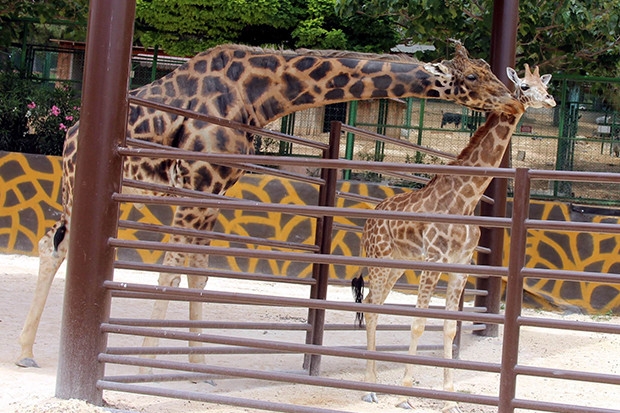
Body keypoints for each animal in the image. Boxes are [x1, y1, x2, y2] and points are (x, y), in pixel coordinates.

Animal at [15, 41, 524, 366]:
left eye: (490, 71)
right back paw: (25, 354)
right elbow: (168, 275)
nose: (513, 101)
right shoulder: (195, 188)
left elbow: (196, 276)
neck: (263, 94)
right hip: (78, 186)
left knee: (53, 245)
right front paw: (145, 365)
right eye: (473, 76)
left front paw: (196, 367)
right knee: (52, 247)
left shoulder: (215, 193)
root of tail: (69, 134)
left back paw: (26, 351)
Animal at [354, 63, 556, 408]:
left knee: (373, 304)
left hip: (397, 264)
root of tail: (368, 222)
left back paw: (374, 382)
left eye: (545, 86)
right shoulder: (434, 260)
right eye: (525, 86)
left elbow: (448, 328)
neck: (468, 199)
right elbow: (419, 323)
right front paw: (406, 392)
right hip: (379, 260)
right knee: (371, 308)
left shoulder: (460, 265)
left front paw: (449, 397)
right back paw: (369, 387)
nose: (551, 100)